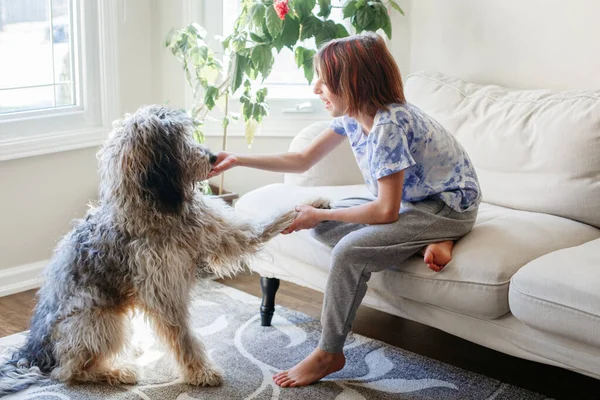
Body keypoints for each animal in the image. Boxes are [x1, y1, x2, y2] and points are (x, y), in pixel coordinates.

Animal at [0, 104, 324, 396]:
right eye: (178, 141)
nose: (213, 156)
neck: (158, 206)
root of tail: (33, 353)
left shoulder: (225, 234)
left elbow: (263, 226)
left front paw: (313, 205)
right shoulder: (163, 290)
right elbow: (183, 335)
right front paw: (200, 371)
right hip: (100, 319)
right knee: (69, 370)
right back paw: (116, 371)